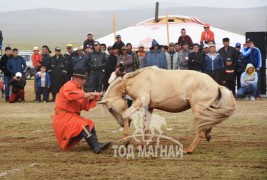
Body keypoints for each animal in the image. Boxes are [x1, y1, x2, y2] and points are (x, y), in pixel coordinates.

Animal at [100, 66, 237, 153]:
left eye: (110, 109)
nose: (122, 124)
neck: (136, 80)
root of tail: (215, 84)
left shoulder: (141, 101)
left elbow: (126, 114)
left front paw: (126, 140)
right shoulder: (149, 107)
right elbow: (146, 126)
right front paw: (141, 146)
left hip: (198, 110)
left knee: (201, 131)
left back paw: (188, 149)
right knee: (207, 123)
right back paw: (207, 135)